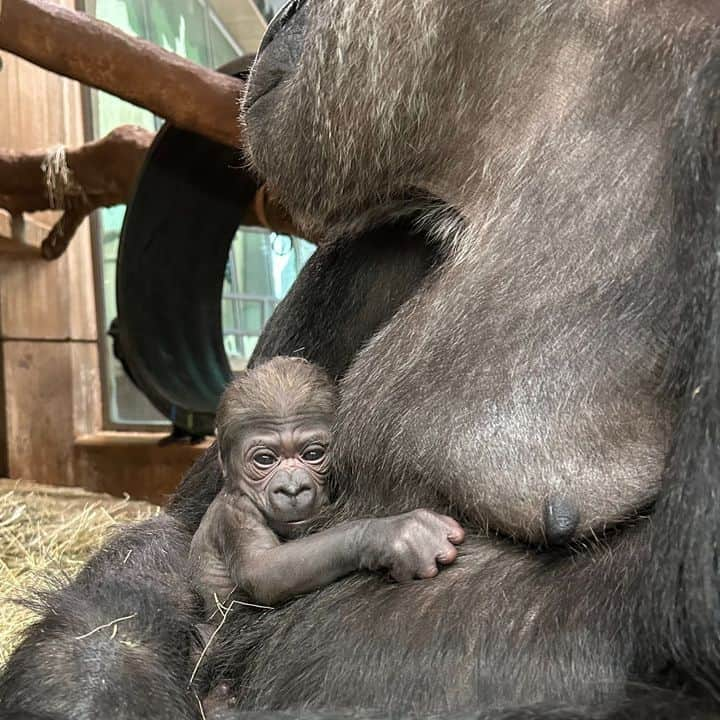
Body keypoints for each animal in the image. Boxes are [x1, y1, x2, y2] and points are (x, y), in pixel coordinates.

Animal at [188, 356, 464, 612]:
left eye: (312, 454)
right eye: (265, 459)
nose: (292, 489)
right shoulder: (235, 513)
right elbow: (262, 569)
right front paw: (389, 533)